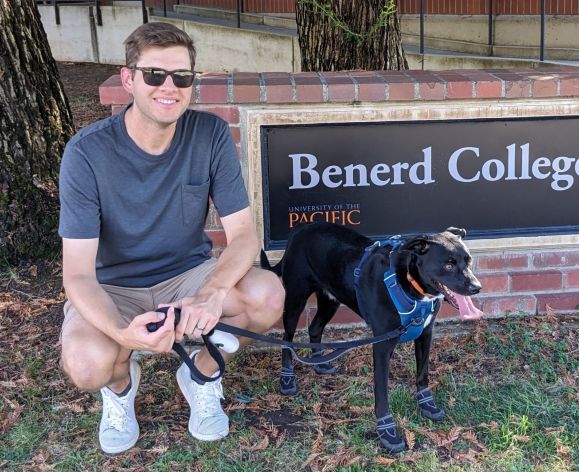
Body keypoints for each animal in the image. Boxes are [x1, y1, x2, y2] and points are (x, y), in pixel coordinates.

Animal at [260, 223, 482, 452]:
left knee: (314, 327)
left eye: (468, 261)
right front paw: (387, 431)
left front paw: (427, 405)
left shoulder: (425, 334)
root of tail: (301, 227)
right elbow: (382, 392)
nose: (477, 287)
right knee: (288, 337)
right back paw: (287, 378)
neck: (408, 283)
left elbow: (422, 375)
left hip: (331, 297)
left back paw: (320, 362)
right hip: (295, 299)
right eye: (448, 265)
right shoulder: (383, 344)